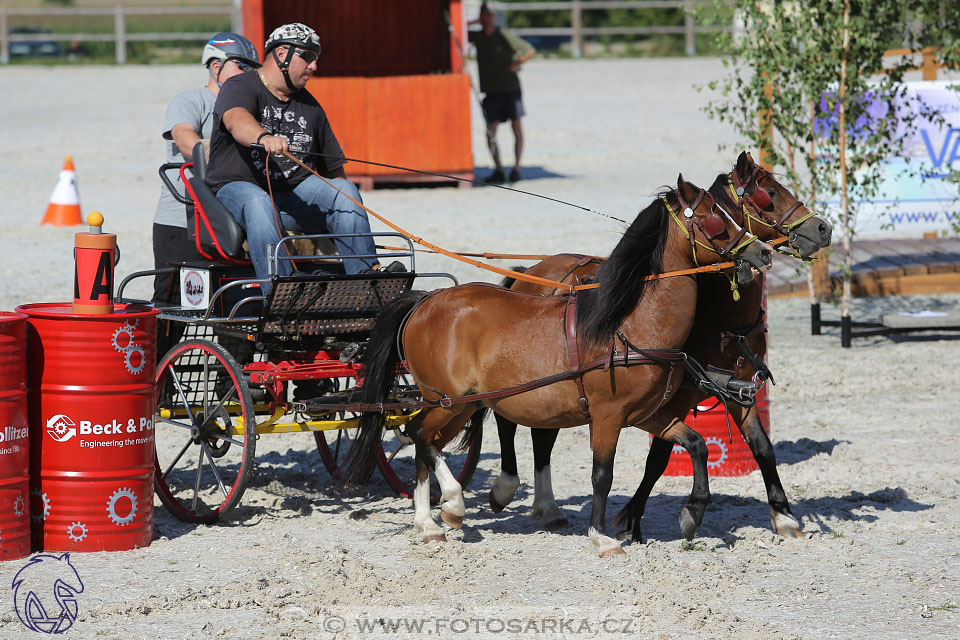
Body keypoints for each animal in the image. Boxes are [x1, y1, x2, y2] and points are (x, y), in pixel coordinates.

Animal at [344, 175, 772, 556]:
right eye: (715, 216)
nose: (764, 252)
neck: (628, 324)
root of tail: (425, 300)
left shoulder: (649, 415)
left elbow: (697, 446)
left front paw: (692, 513)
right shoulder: (608, 416)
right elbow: (602, 474)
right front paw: (602, 538)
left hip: (459, 405)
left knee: (424, 441)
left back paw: (428, 522)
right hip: (445, 400)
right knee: (419, 435)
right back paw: (451, 503)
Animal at [488, 151, 832, 540]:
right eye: (769, 193)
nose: (823, 228)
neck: (720, 318)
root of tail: (530, 272)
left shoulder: (738, 391)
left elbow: (762, 447)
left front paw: (783, 513)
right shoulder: (673, 398)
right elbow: (659, 459)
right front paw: (638, 518)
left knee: (542, 433)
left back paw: (547, 508)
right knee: (508, 418)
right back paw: (507, 488)